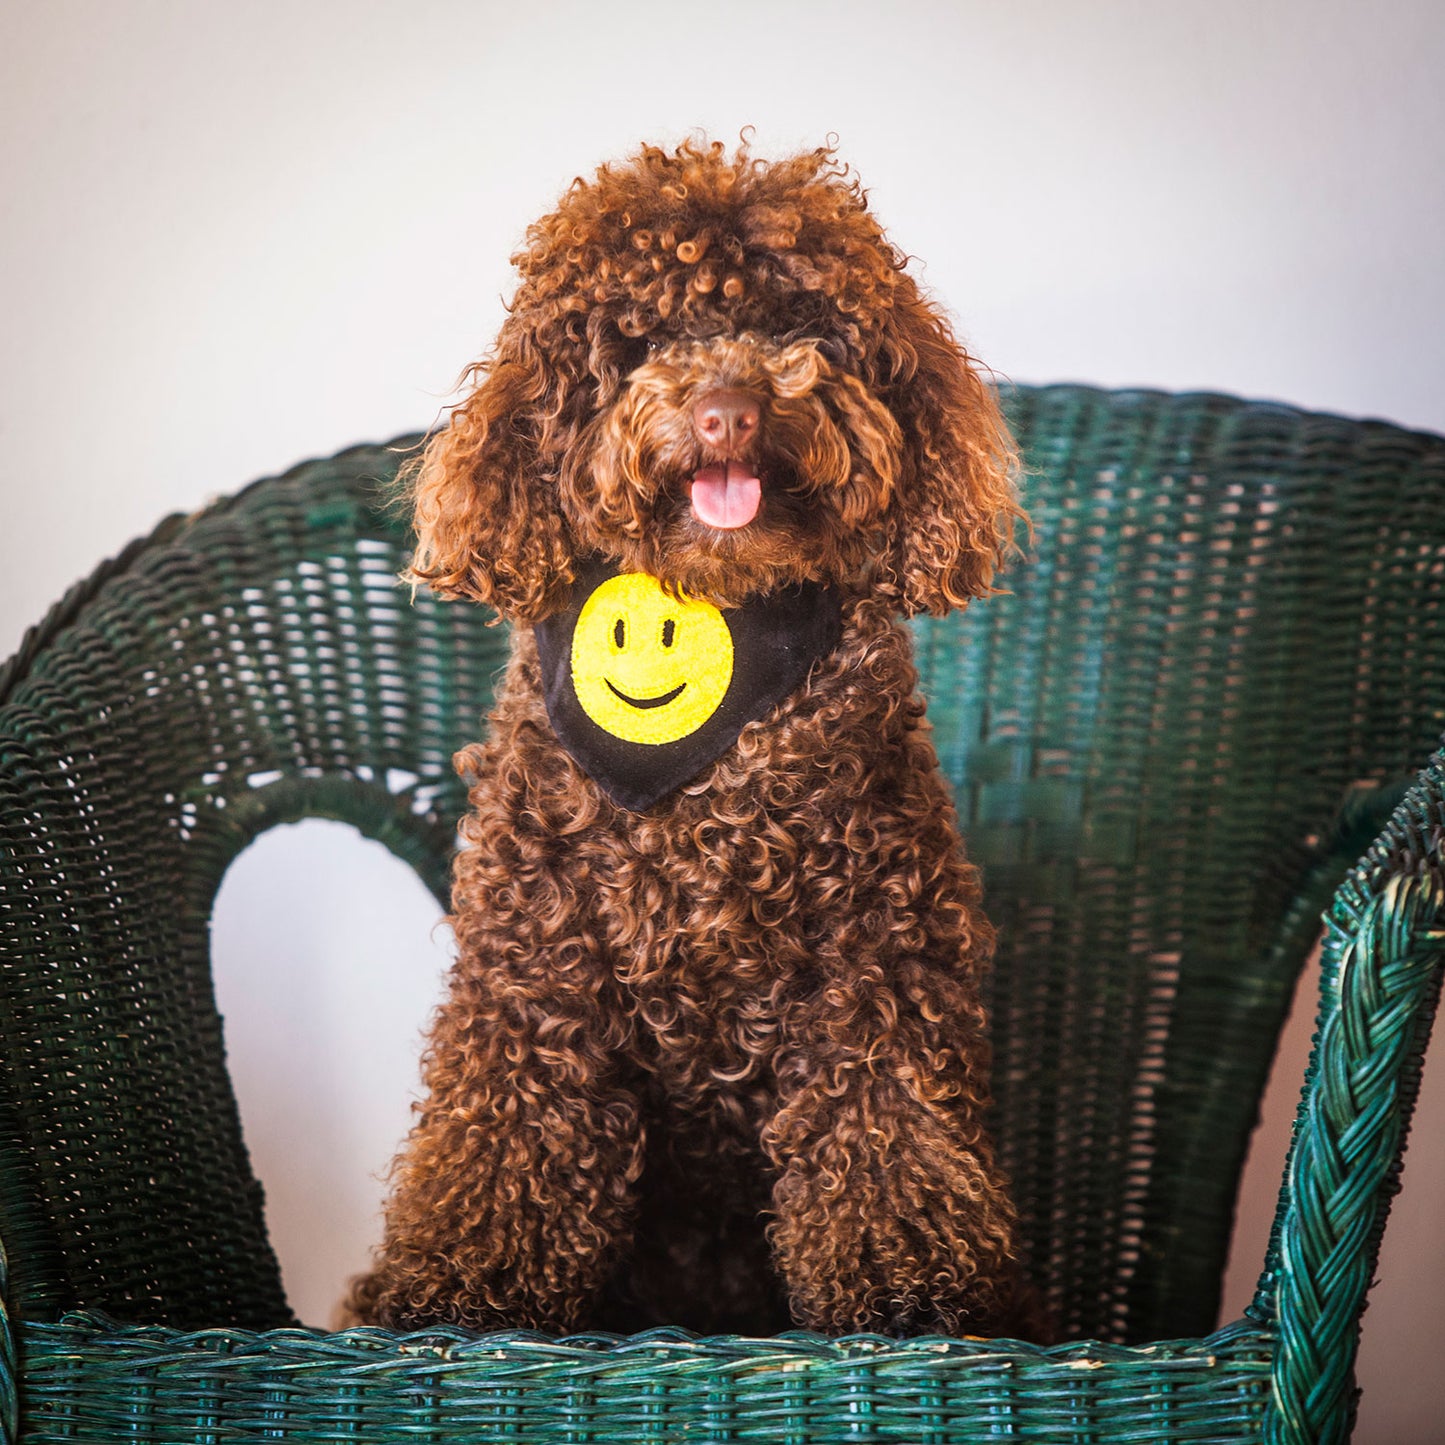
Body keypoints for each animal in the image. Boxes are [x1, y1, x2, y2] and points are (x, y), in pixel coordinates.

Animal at [351, 140, 1046, 1335]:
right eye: (638, 340)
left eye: (796, 324)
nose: (726, 412)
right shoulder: (532, 977)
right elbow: (503, 1140)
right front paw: (458, 1285)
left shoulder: (875, 962)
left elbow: (883, 1132)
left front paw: (907, 1280)